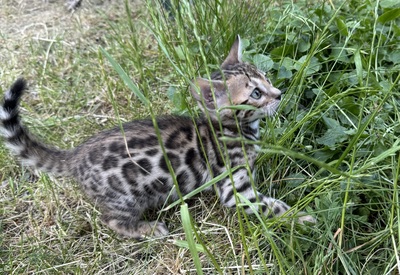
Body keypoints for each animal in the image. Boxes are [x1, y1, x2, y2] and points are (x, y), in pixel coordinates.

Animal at [0, 36, 316, 239]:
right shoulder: (235, 190)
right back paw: (147, 229)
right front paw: (303, 218)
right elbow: (272, 206)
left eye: (267, 78)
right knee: (112, 220)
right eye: (256, 93)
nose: (279, 94)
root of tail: (75, 155)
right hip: (126, 196)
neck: (230, 129)